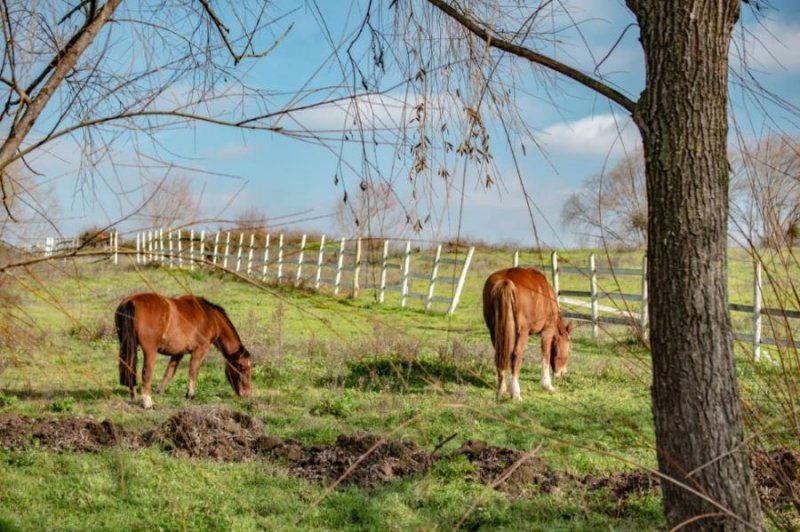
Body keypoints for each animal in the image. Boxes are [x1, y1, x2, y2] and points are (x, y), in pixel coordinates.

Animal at [114, 294, 252, 410]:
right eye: (242, 367)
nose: (246, 393)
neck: (210, 317)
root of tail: (131, 301)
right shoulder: (200, 350)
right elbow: (193, 371)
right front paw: (190, 395)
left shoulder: (178, 353)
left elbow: (169, 373)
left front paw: (160, 391)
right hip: (150, 351)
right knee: (146, 373)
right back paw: (147, 402)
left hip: (127, 346)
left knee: (129, 368)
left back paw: (134, 397)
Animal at [482, 268, 576, 402]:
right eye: (569, 349)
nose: (563, 372)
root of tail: (506, 280)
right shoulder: (547, 332)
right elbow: (545, 355)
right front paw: (547, 385)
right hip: (522, 333)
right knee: (515, 356)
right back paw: (516, 393)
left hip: (495, 332)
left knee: (500, 356)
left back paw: (501, 389)